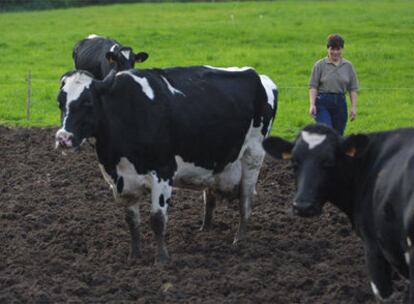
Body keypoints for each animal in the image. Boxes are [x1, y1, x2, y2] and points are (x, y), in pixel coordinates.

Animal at [53, 64, 276, 264]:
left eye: (88, 102)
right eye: (59, 102)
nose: (63, 138)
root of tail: (259, 75)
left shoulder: (162, 171)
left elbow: (157, 219)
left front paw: (161, 259)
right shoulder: (122, 181)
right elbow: (131, 220)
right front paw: (134, 256)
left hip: (253, 156)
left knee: (246, 199)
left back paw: (239, 240)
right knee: (210, 196)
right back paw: (205, 230)